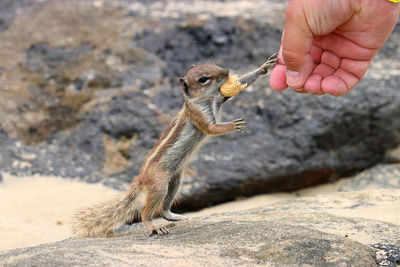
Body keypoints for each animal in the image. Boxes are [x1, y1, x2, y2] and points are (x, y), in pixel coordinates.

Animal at [72, 54, 278, 237]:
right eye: (203, 79)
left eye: (213, 63)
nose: (226, 72)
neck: (206, 100)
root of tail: (141, 177)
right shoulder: (199, 116)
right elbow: (212, 128)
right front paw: (233, 125)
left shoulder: (220, 97)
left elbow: (243, 81)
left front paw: (264, 66)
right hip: (159, 186)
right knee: (146, 213)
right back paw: (154, 227)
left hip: (175, 182)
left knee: (164, 208)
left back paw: (175, 217)